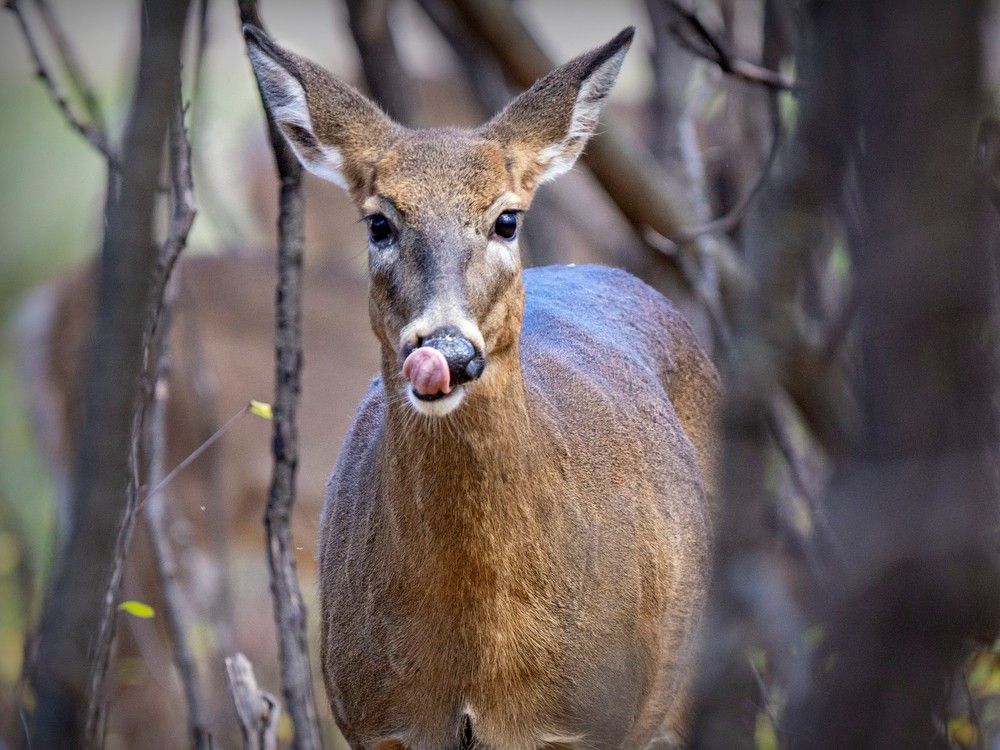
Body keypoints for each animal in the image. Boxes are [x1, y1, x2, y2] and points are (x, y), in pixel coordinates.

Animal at [247, 23, 724, 750]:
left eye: (507, 219)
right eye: (379, 222)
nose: (445, 348)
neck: (480, 647)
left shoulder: (591, 722)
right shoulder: (377, 721)